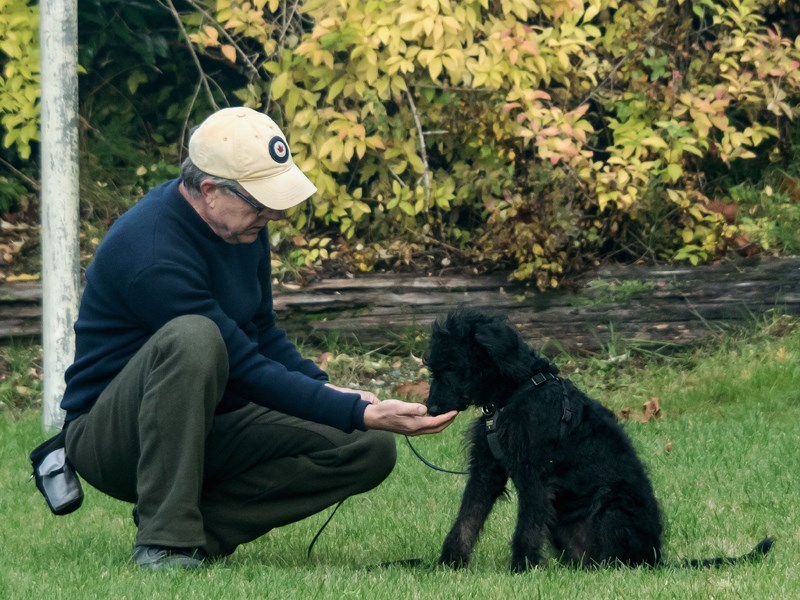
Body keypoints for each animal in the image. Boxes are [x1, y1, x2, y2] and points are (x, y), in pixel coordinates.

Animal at [424, 310, 768, 572]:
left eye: (451, 366)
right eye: (433, 368)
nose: (431, 408)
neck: (514, 392)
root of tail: (656, 557)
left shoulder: (534, 477)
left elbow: (526, 528)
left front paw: (521, 569)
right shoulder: (486, 472)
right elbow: (465, 521)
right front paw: (448, 565)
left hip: (611, 503)